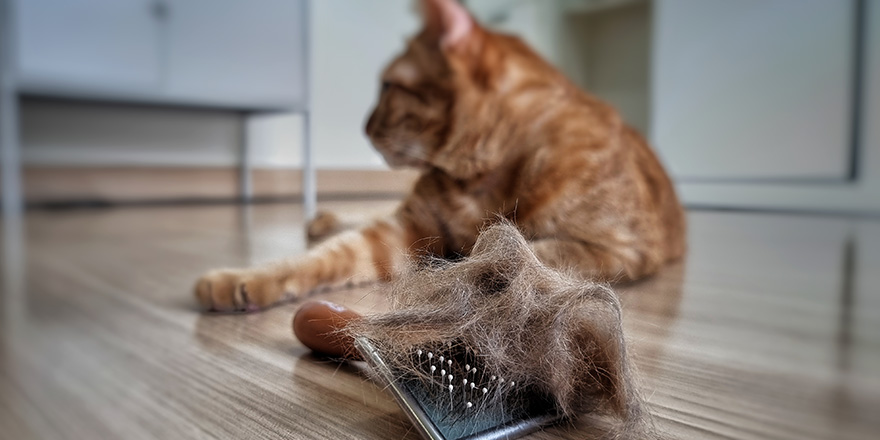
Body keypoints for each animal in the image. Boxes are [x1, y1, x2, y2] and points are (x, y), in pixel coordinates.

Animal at [194, 0, 688, 312]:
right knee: (361, 214)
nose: (364, 126)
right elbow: (317, 258)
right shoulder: (401, 230)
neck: (483, 176)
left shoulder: (617, 249)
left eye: (389, 87)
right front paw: (242, 279)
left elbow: (520, 251)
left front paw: (461, 270)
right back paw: (324, 218)